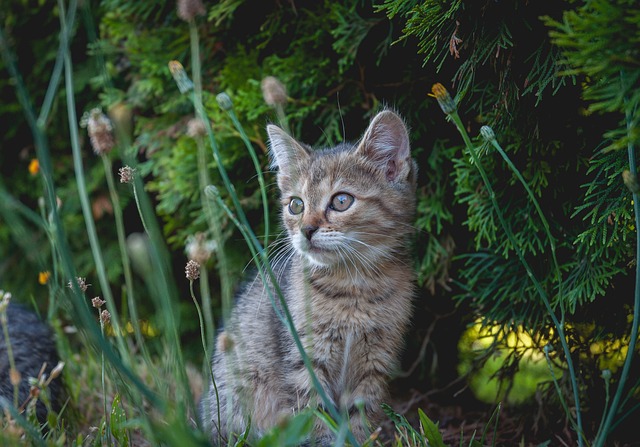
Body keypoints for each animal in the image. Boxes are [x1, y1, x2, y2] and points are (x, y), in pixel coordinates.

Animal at [200, 109, 420, 444]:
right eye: (296, 205)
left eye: (341, 201)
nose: (306, 229)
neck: (354, 286)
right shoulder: (304, 360)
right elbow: (314, 417)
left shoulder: (376, 361)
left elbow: (360, 418)